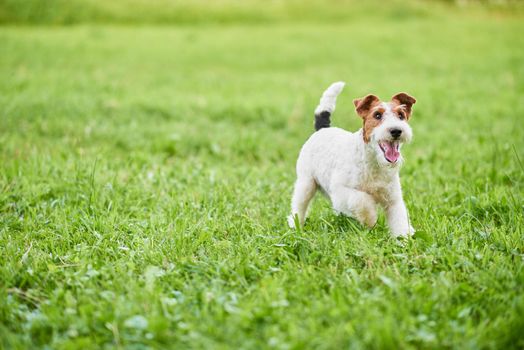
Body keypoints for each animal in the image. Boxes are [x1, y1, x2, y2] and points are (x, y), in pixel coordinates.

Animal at [286, 81, 418, 238]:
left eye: (401, 115)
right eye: (377, 115)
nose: (396, 130)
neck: (374, 163)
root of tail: (322, 129)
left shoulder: (393, 199)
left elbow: (399, 220)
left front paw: (403, 239)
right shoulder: (341, 191)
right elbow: (362, 200)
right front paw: (370, 219)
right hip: (306, 183)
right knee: (298, 207)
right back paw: (296, 226)